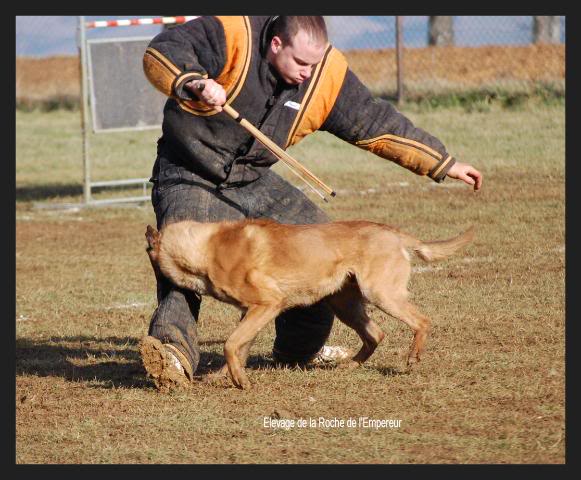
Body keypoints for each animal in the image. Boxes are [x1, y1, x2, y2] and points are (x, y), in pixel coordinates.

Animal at [144, 218, 472, 390]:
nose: (157, 288)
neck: (205, 249)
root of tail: (394, 233)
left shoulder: (268, 304)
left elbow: (230, 344)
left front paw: (239, 381)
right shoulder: (249, 312)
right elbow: (239, 347)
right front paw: (230, 376)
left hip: (382, 294)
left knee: (421, 321)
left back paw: (413, 357)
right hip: (345, 305)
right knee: (375, 334)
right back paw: (349, 365)